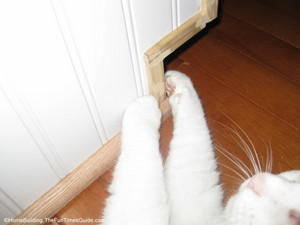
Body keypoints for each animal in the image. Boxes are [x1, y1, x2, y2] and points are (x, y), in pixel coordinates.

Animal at [101, 70, 300, 225]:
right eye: (294, 180)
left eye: (294, 216)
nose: (257, 182)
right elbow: (195, 133)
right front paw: (178, 84)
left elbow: (142, 172)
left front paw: (144, 109)